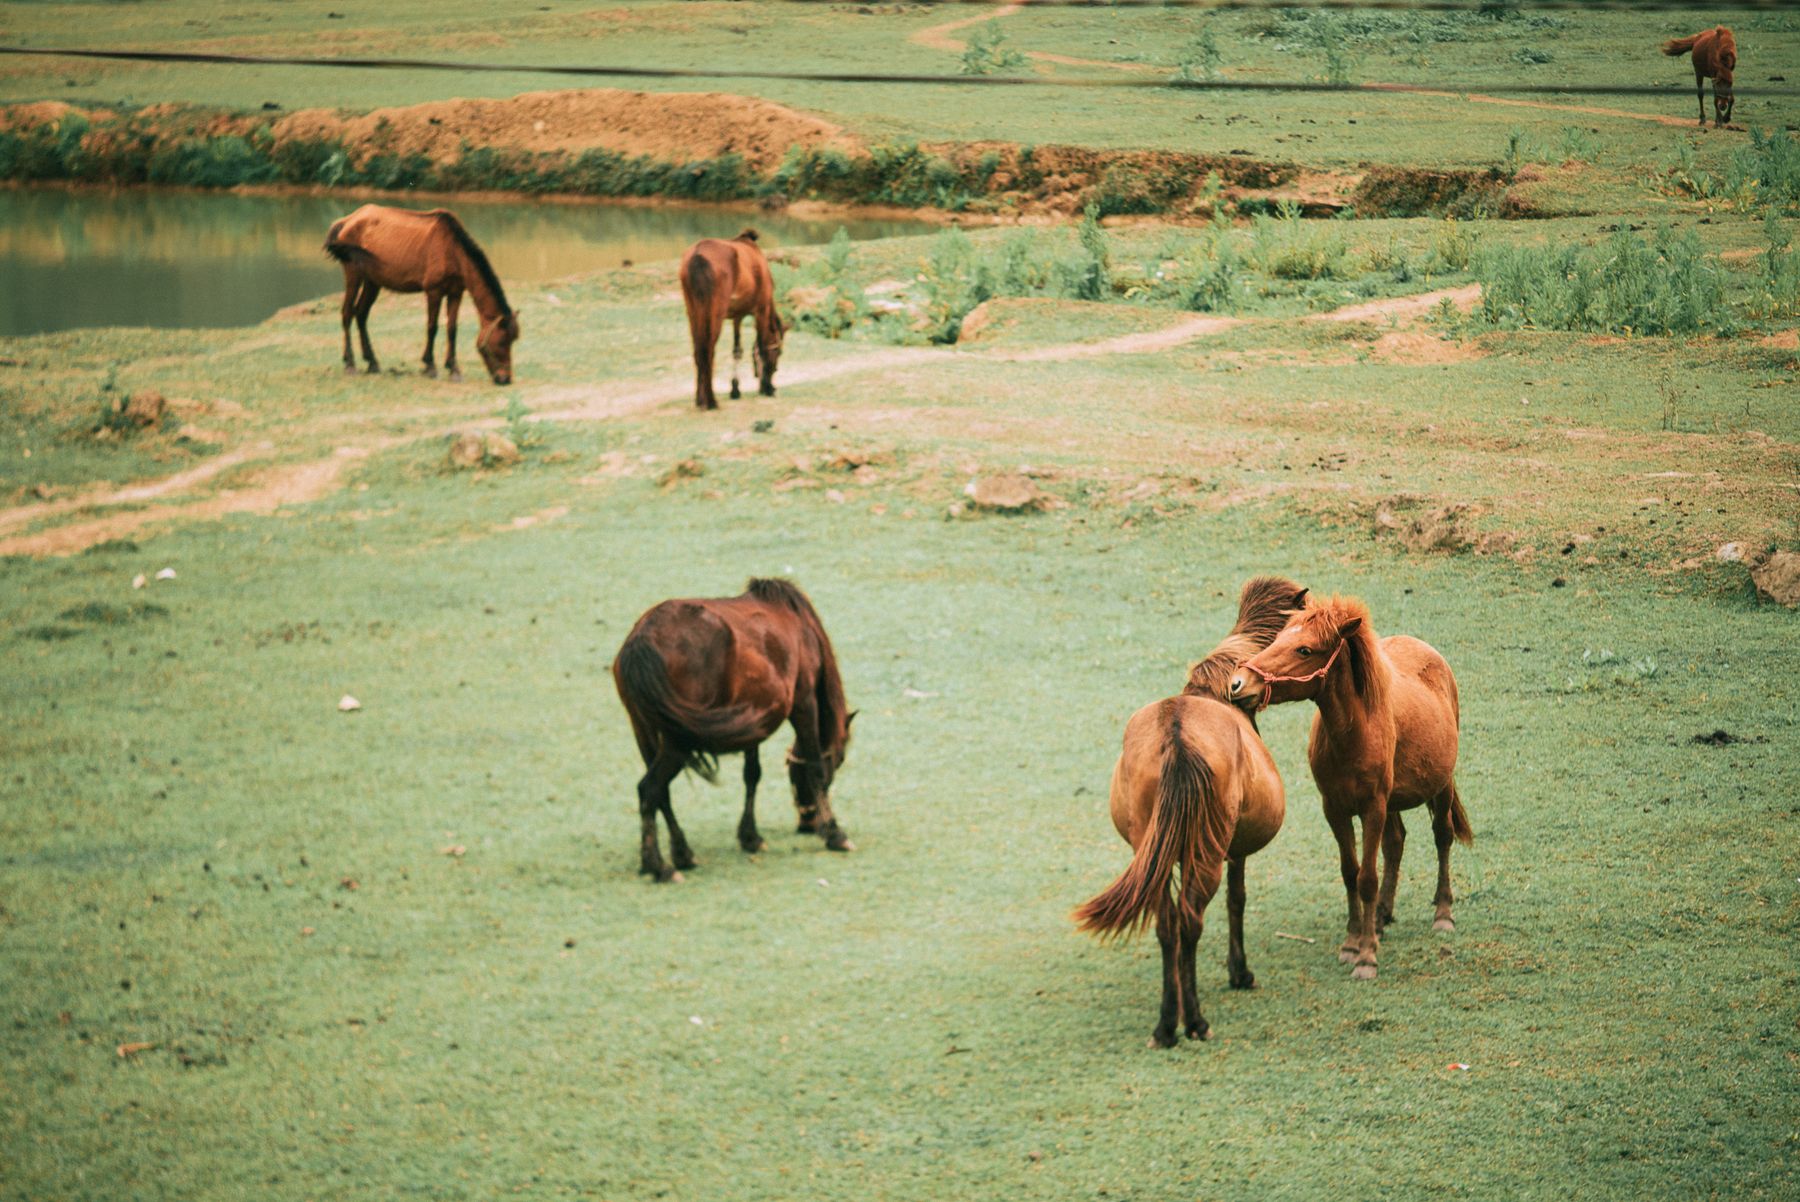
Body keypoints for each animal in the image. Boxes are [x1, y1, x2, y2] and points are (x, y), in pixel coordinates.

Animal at [324, 204, 521, 385]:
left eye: (513, 340)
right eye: (502, 342)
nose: (505, 379)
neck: (451, 249)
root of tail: (347, 220)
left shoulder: (456, 293)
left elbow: (452, 329)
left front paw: (453, 369)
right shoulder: (434, 292)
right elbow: (432, 327)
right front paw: (430, 366)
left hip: (373, 282)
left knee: (361, 314)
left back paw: (372, 362)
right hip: (354, 275)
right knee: (347, 314)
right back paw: (350, 363)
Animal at [612, 577, 854, 882]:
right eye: (839, 760)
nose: (807, 822)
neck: (802, 628)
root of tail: (641, 639)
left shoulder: (754, 720)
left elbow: (752, 774)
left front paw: (750, 836)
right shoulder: (804, 702)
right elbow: (815, 768)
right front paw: (835, 833)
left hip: (644, 731)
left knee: (660, 793)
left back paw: (681, 853)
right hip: (677, 739)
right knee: (649, 788)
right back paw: (660, 866)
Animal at [678, 229, 784, 410]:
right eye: (778, 352)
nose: (773, 385)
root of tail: (698, 255)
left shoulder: (737, 317)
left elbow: (737, 351)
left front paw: (735, 389)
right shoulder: (761, 310)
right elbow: (762, 347)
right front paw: (766, 388)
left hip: (693, 312)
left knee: (698, 351)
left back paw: (700, 400)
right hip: (715, 314)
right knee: (708, 351)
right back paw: (710, 401)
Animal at [1074, 576, 1306, 1048]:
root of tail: (1178, 736)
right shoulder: (1235, 852)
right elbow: (1237, 900)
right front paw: (1239, 972)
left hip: (1154, 854)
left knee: (1167, 926)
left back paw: (1166, 1024)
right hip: (1206, 855)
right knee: (1190, 921)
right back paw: (1194, 1020)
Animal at [1227, 594, 1472, 982]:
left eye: (1304, 649)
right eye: (1277, 639)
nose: (1238, 683)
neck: (1354, 733)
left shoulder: (1372, 807)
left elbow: (1367, 878)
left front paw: (1367, 956)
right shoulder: (1336, 809)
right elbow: (1350, 873)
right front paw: (1353, 942)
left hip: (1440, 785)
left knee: (1442, 835)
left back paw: (1442, 914)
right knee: (1395, 842)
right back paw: (1382, 917)